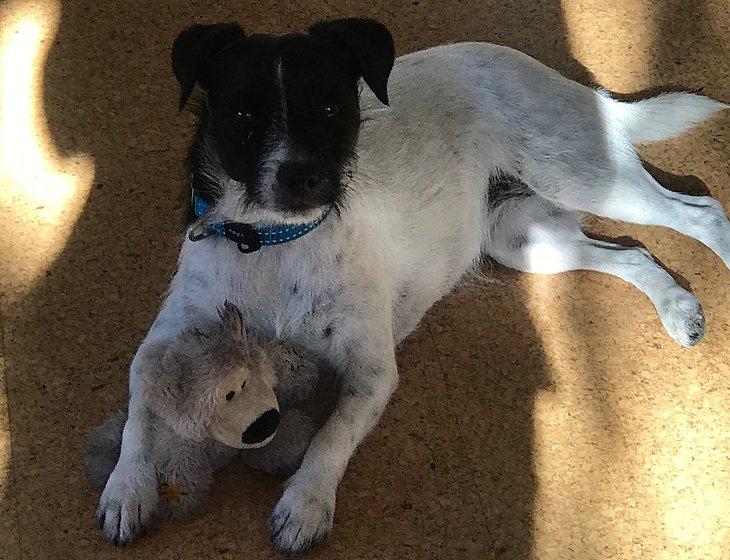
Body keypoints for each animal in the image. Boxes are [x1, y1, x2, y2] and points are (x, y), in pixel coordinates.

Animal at [94, 17, 724, 556]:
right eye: (245, 115)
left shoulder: (371, 372)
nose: (304, 177)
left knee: (702, 213)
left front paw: (306, 503)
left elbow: (331, 436)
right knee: (634, 254)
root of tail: (571, 85)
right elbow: (139, 399)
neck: (274, 244)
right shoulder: (164, 341)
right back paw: (678, 308)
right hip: (521, 237)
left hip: (584, 179)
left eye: (331, 106)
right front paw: (127, 488)